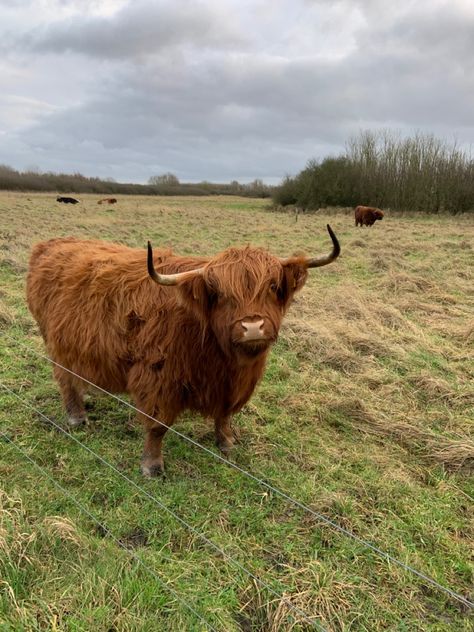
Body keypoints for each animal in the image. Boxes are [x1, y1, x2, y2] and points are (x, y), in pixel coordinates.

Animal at [25, 225, 338, 476]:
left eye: (272, 286)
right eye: (220, 294)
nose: (252, 327)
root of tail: (51, 243)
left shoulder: (231, 385)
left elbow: (225, 415)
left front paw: (226, 443)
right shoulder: (156, 377)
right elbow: (157, 426)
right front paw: (152, 466)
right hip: (56, 344)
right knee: (65, 380)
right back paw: (77, 417)